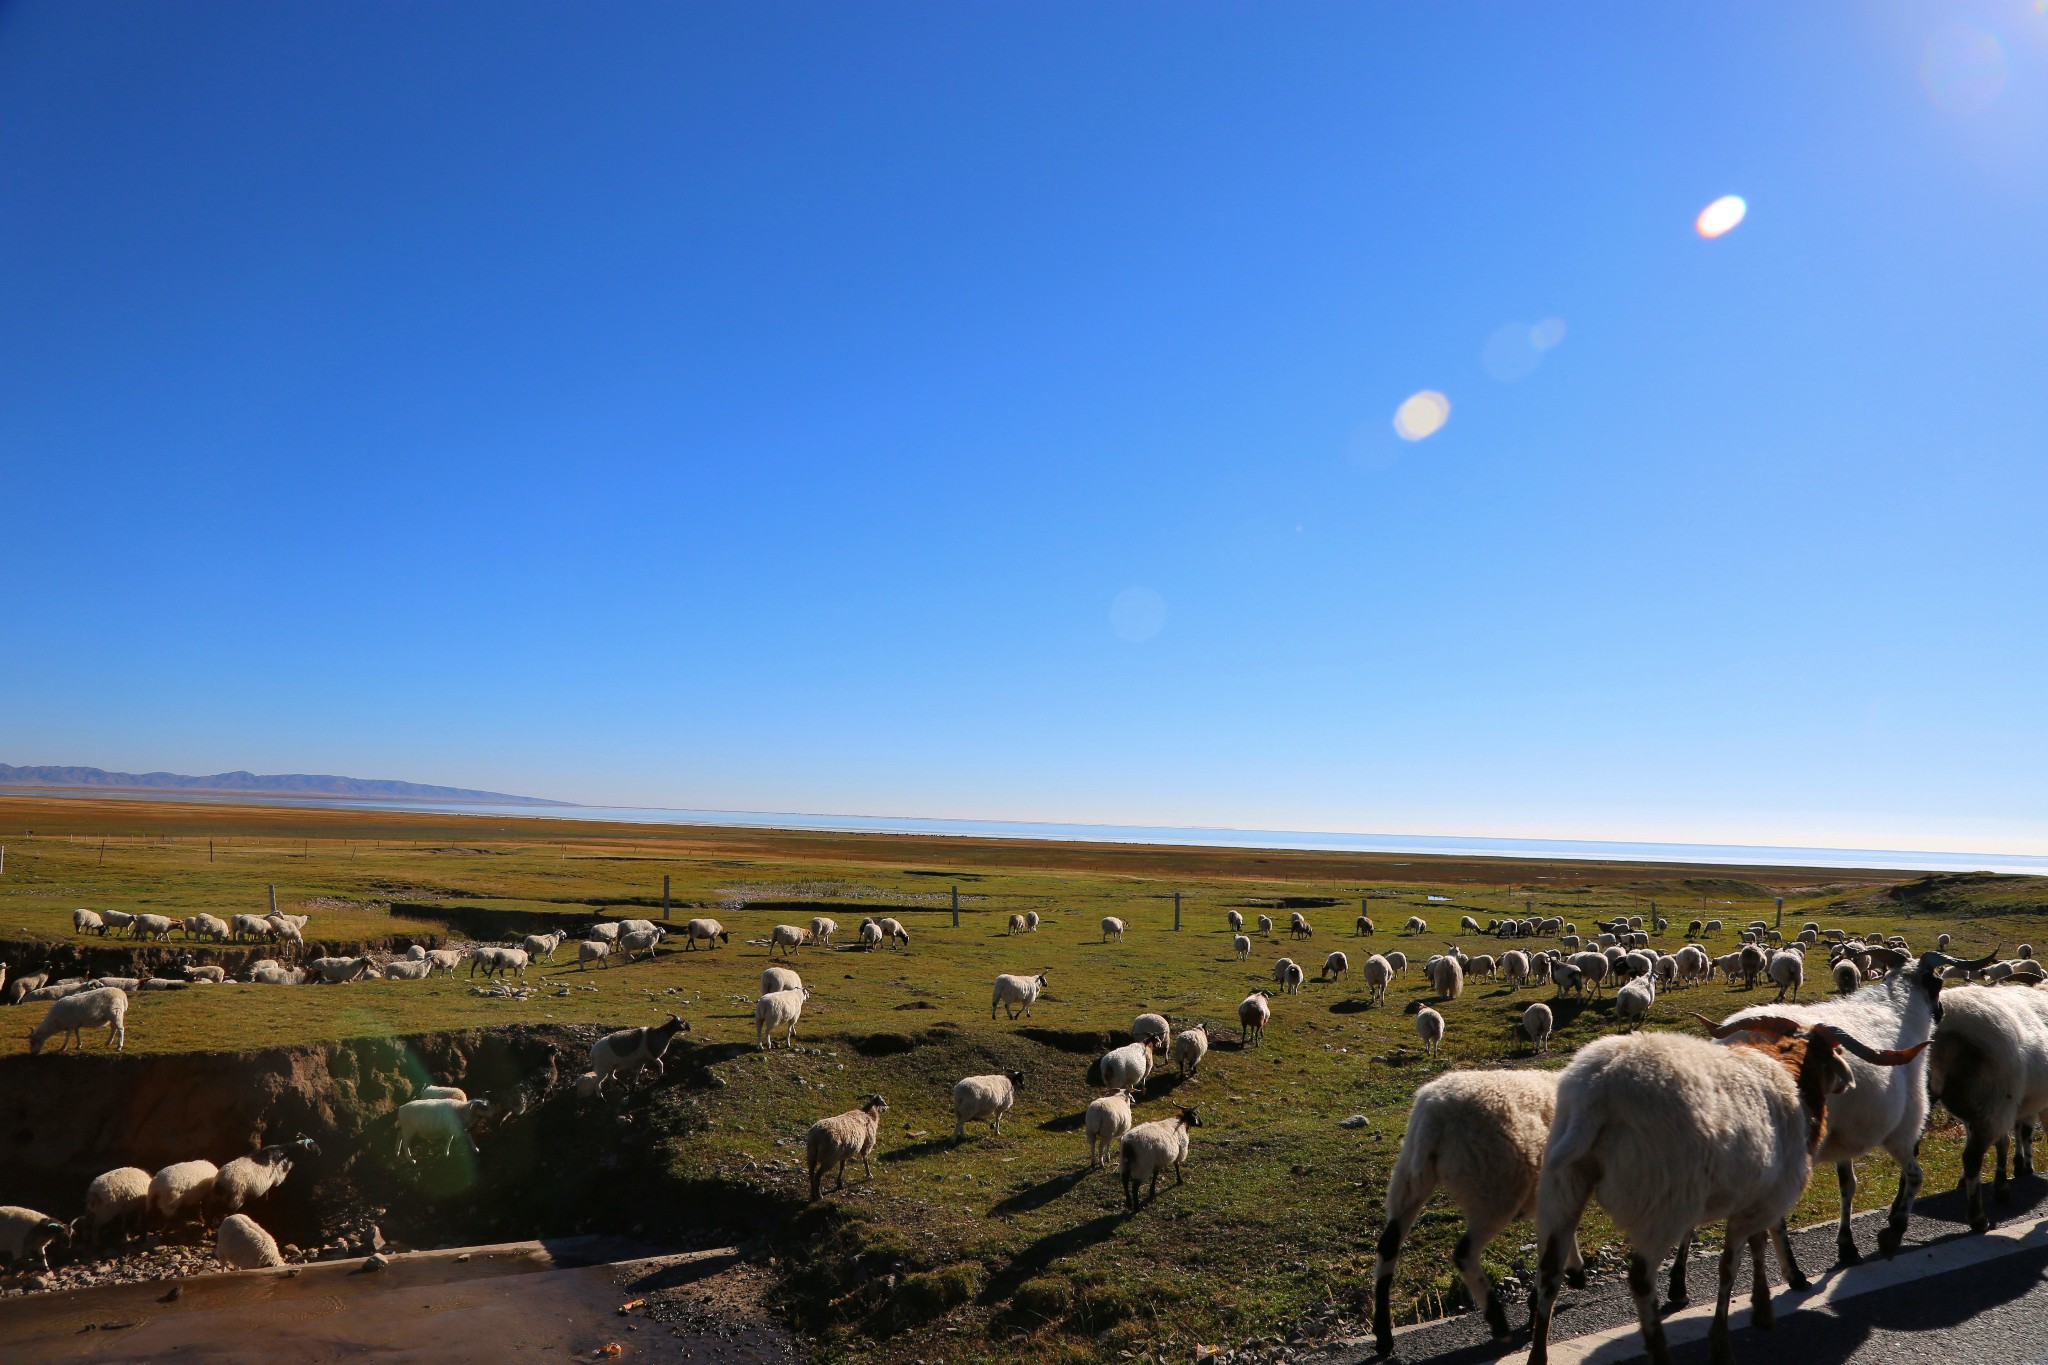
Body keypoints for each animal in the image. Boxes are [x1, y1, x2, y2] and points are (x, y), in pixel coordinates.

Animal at [1368, 1080, 1556, 1358]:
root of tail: (1435, 1114)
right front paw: (1536, 1311)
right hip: (1494, 1188)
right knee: (1463, 1253)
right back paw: (1498, 1322)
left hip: (1409, 1177)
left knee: (1388, 1245)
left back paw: (1383, 1338)